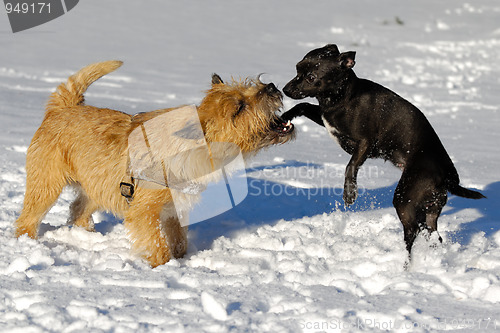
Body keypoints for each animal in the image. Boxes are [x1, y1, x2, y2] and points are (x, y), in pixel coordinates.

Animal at [284, 44, 486, 255]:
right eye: (297, 69)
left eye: (311, 77)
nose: (285, 89)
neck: (344, 96)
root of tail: (447, 177)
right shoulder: (326, 119)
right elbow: (303, 105)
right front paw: (284, 118)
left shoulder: (365, 143)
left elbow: (350, 166)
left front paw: (350, 194)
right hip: (430, 209)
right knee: (432, 235)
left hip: (404, 198)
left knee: (412, 230)